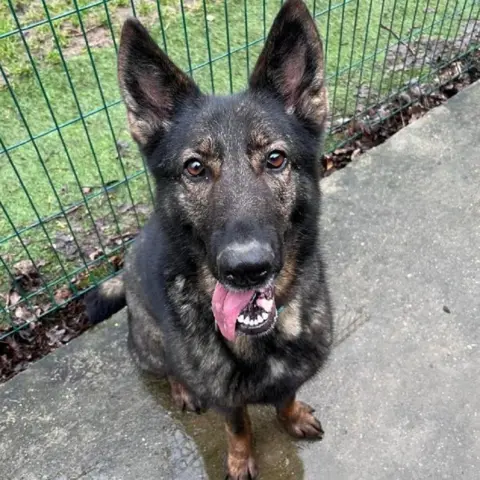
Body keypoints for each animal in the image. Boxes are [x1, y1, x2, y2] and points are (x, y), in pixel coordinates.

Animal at [85, 1, 334, 478]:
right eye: (195, 168)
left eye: (276, 159)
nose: (246, 269)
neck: (261, 339)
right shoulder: (226, 399)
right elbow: (238, 428)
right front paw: (240, 460)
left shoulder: (292, 375)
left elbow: (287, 396)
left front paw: (291, 416)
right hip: (150, 344)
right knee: (171, 367)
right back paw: (182, 389)